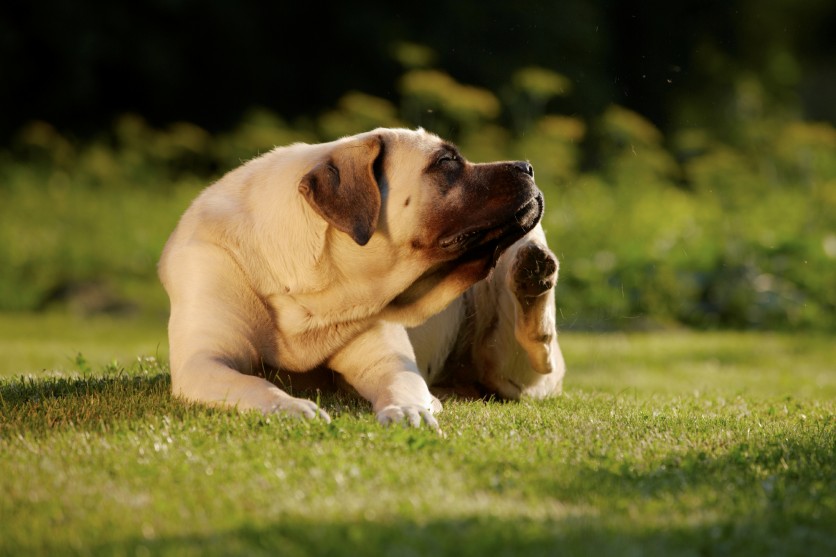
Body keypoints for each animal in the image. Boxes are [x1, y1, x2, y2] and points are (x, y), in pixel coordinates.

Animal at [158, 127, 560, 430]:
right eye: (446, 162)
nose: (527, 166)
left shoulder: (387, 362)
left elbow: (402, 385)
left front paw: (408, 410)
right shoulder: (203, 362)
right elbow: (255, 384)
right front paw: (290, 407)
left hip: (514, 365)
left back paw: (532, 273)